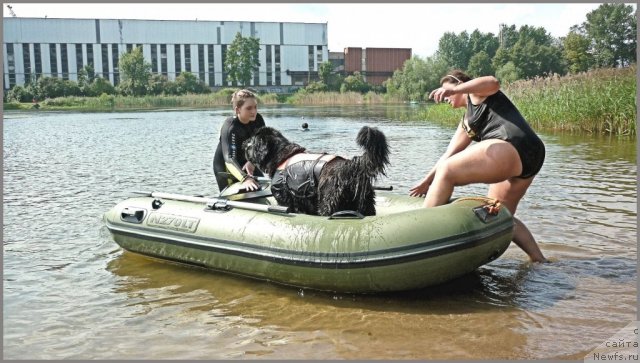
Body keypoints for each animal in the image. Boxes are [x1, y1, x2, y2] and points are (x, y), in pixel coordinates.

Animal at [242, 126, 388, 216]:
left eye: (251, 143)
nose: (243, 145)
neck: (281, 157)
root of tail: (351, 166)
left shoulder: (283, 197)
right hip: (366, 201)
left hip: (328, 201)